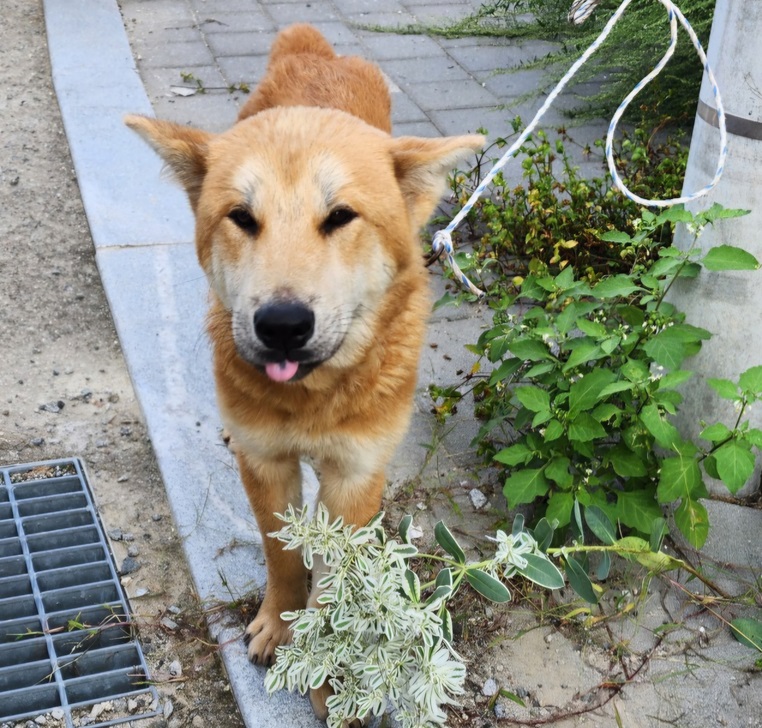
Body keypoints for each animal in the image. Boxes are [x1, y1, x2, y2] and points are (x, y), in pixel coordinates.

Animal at [124, 24, 480, 724]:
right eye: (242, 217)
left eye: (340, 216)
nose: (281, 324)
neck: (315, 398)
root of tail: (315, 50)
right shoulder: (267, 463)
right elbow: (283, 553)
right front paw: (281, 625)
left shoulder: (355, 476)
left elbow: (335, 576)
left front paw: (328, 663)